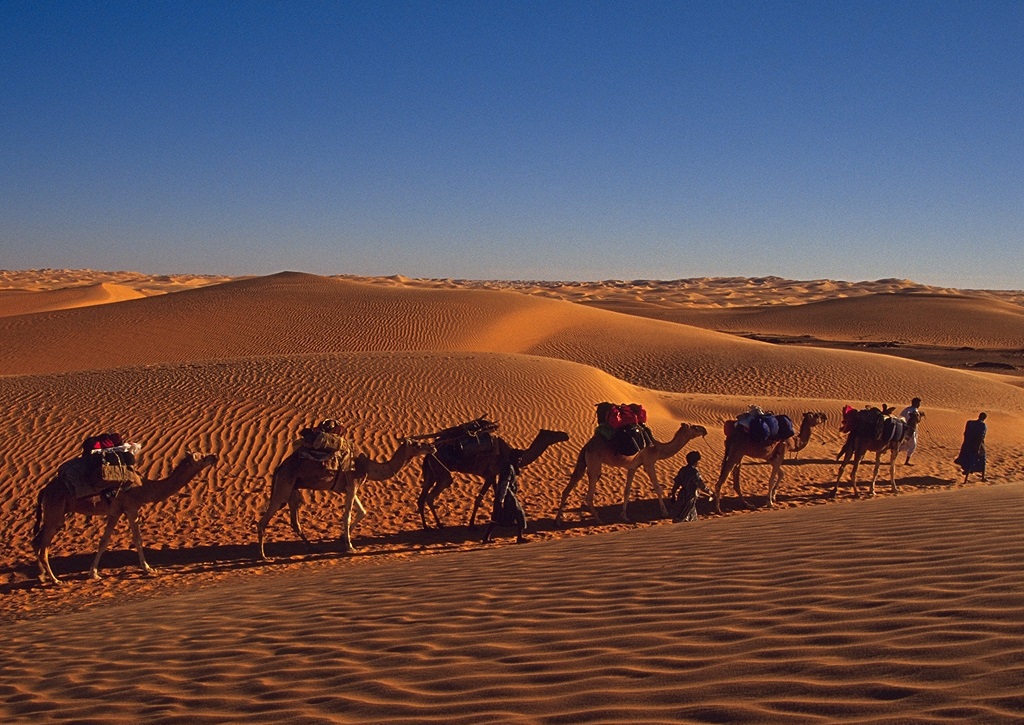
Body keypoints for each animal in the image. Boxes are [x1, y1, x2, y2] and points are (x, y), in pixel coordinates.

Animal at [32, 446, 218, 581]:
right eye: (201, 456)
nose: (214, 456)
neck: (144, 488)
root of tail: (44, 490)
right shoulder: (131, 508)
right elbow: (137, 539)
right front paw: (148, 568)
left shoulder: (115, 512)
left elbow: (104, 541)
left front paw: (94, 573)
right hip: (55, 514)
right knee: (43, 547)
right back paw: (55, 580)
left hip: (54, 514)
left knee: (36, 542)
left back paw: (42, 576)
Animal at [258, 436, 434, 561]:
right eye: (417, 444)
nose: (431, 446)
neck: (368, 466)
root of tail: (279, 467)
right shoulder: (352, 484)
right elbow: (347, 516)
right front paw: (350, 546)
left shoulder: (349, 487)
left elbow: (362, 511)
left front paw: (342, 538)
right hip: (283, 488)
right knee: (263, 520)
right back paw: (264, 556)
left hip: (293, 490)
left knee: (295, 521)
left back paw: (313, 548)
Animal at [419, 428, 573, 528]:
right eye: (552, 433)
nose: (565, 434)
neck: (512, 454)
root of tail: (428, 455)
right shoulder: (491, 473)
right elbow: (480, 498)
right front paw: (472, 524)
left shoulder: (493, 475)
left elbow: (495, 496)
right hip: (442, 473)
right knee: (431, 496)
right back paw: (439, 524)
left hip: (431, 474)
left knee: (421, 497)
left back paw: (426, 526)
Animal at [552, 421, 712, 524]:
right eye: (695, 428)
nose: (704, 430)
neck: (658, 448)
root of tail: (586, 446)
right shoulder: (649, 462)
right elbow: (658, 488)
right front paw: (665, 513)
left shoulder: (633, 467)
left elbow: (627, 491)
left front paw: (624, 516)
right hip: (594, 463)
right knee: (589, 493)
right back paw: (598, 519)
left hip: (584, 462)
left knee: (568, 488)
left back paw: (558, 520)